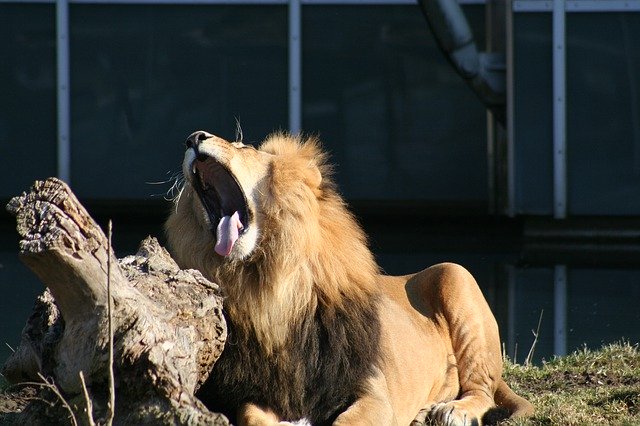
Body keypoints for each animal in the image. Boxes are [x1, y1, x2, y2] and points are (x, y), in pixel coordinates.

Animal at [164, 131, 528, 426]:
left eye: (243, 146)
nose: (193, 137)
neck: (274, 290)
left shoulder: (373, 390)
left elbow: (349, 421)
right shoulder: (264, 391)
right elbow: (252, 417)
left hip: (455, 274)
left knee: (481, 388)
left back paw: (452, 411)